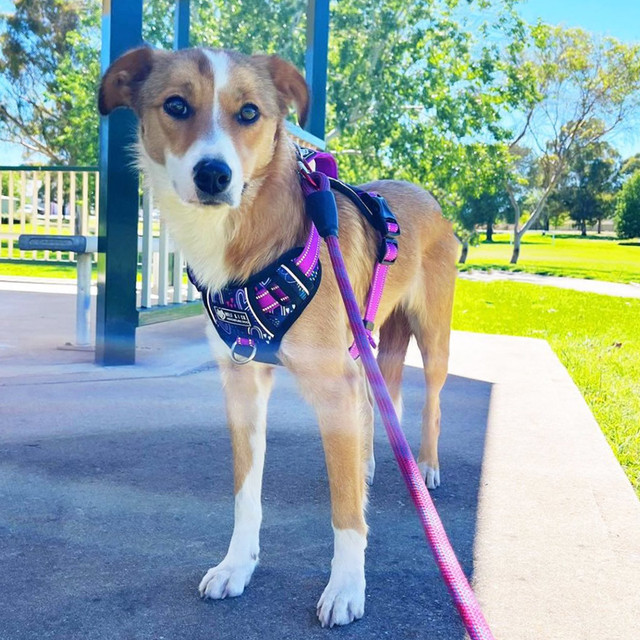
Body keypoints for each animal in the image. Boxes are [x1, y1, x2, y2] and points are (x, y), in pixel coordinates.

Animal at [99, 47, 460, 628]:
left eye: (249, 113)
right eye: (175, 105)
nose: (214, 174)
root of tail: (426, 195)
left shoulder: (332, 385)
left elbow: (345, 515)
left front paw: (346, 586)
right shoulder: (243, 385)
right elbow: (246, 493)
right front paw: (237, 566)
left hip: (432, 340)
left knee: (431, 403)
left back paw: (424, 465)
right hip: (363, 346)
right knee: (371, 408)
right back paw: (365, 464)